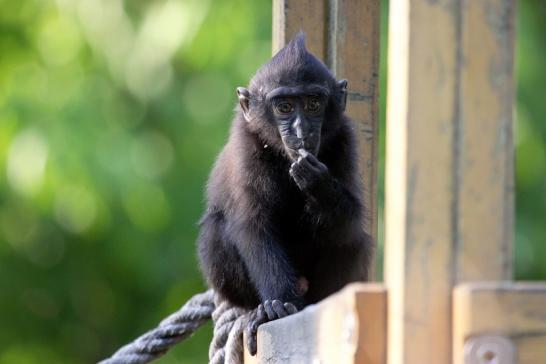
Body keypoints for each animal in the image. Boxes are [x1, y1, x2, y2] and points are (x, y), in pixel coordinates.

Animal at [196, 31, 370, 356]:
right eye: (284, 107)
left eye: (314, 103)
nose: (302, 131)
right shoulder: (246, 145)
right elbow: (253, 226)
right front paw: (278, 304)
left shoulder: (345, 138)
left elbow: (350, 222)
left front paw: (317, 183)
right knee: (215, 231)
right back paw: (257, 310)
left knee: (354, 240)